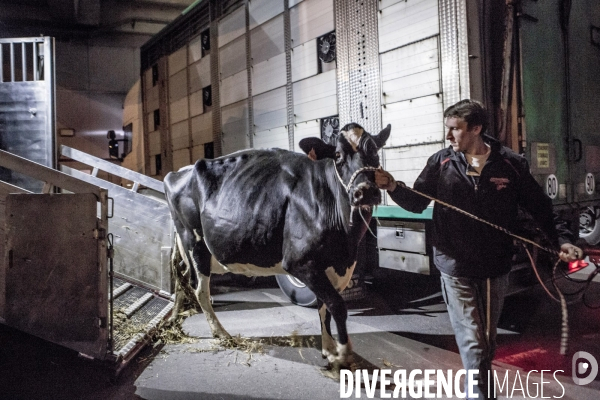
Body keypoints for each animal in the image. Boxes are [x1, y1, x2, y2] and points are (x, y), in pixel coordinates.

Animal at [164, 122, 392, 368]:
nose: (365, 191)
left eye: (374, 151)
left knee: (182, 278)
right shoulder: (300, 262)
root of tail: (177, 172)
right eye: (338, 155)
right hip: (194, 243)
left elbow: (325, 307)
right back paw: (221, 333)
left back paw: (175, 317)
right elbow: (337, 306)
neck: (346, 246)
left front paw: (329, 349)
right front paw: (343, 354)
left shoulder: (336, 268)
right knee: (200, 289)